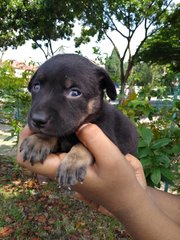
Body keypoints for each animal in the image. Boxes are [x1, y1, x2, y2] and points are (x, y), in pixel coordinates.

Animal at [20, 54, 138, 186]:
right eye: (36, 87)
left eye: (75, 93)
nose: (38, 120)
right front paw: (39, 140)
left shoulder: (109, 140)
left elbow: (83, 146)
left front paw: (72, 164)